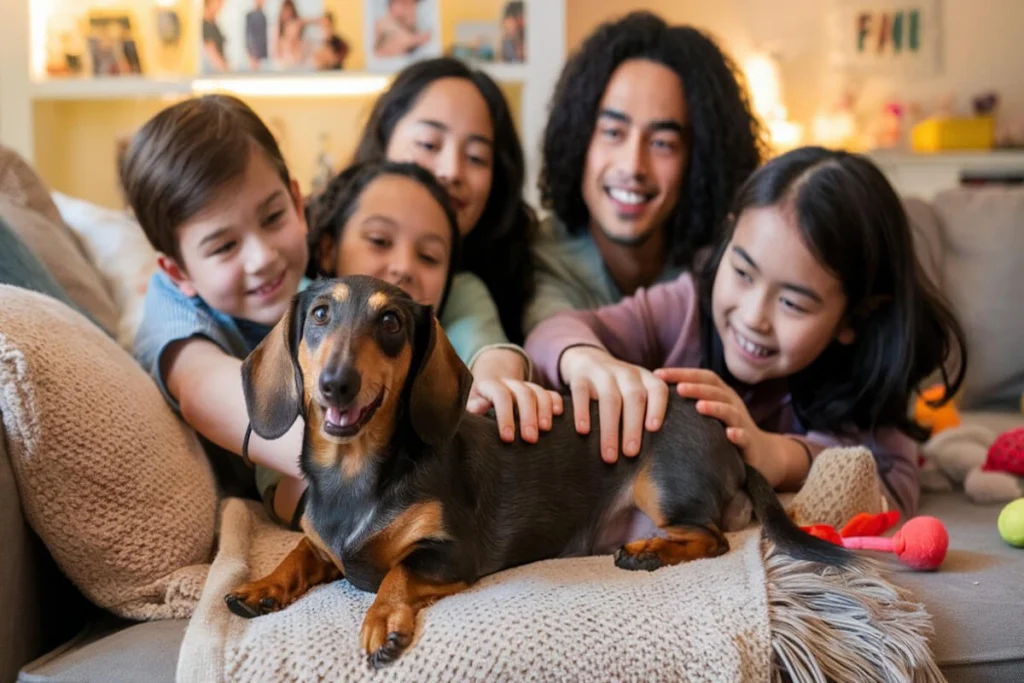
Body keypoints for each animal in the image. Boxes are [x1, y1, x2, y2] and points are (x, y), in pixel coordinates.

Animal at [228, 276, 851, 667]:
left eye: (390, 321)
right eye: (319, 314)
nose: (336, 384)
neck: (355, 475)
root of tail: (730, 440)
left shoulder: (452, 553)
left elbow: (396, 573)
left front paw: (383, 622)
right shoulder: (322, 542)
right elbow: (301, 551)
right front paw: (260, 587)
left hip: (661, 482)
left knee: (713, 536)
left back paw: (649, 551)